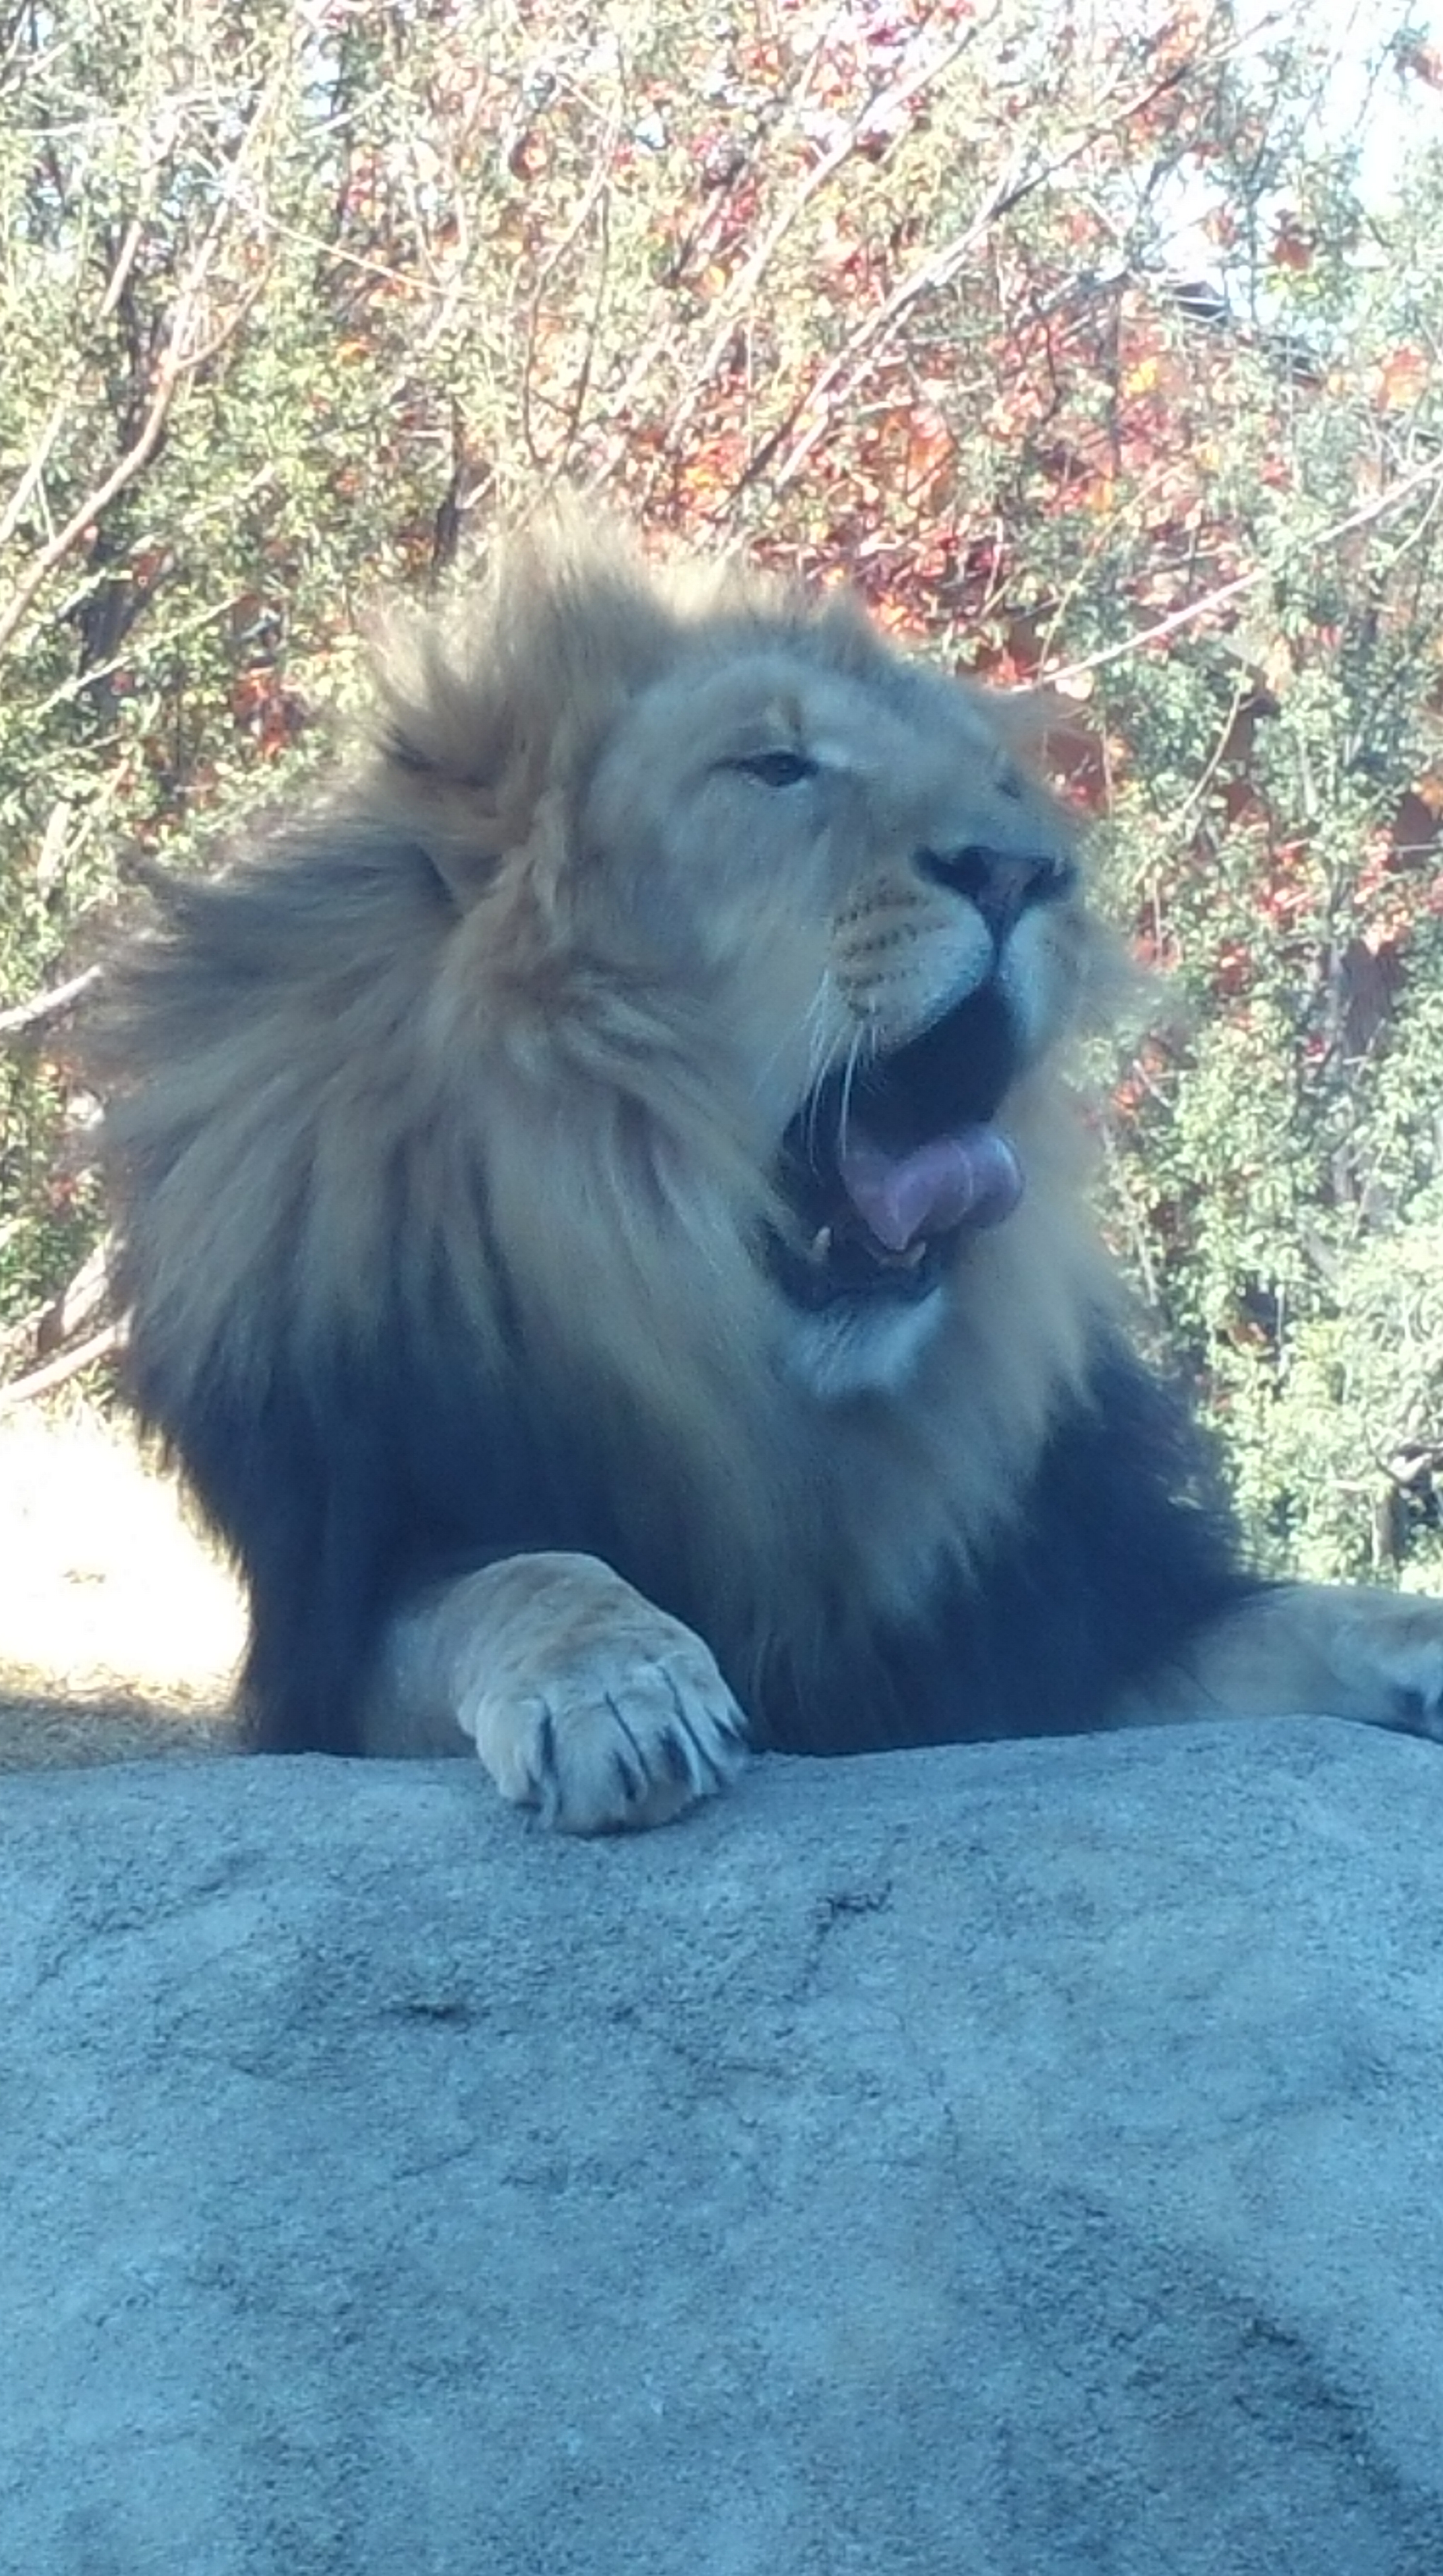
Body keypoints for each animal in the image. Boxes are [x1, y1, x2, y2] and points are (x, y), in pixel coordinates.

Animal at [97, 513, 1443, 1831]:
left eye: (1004, 784)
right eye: (776, 767)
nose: (1024, 871)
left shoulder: (1027, 1627)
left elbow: (1305, 1615)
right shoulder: (344, 1607)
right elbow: (517, 1577)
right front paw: (618, 1684)